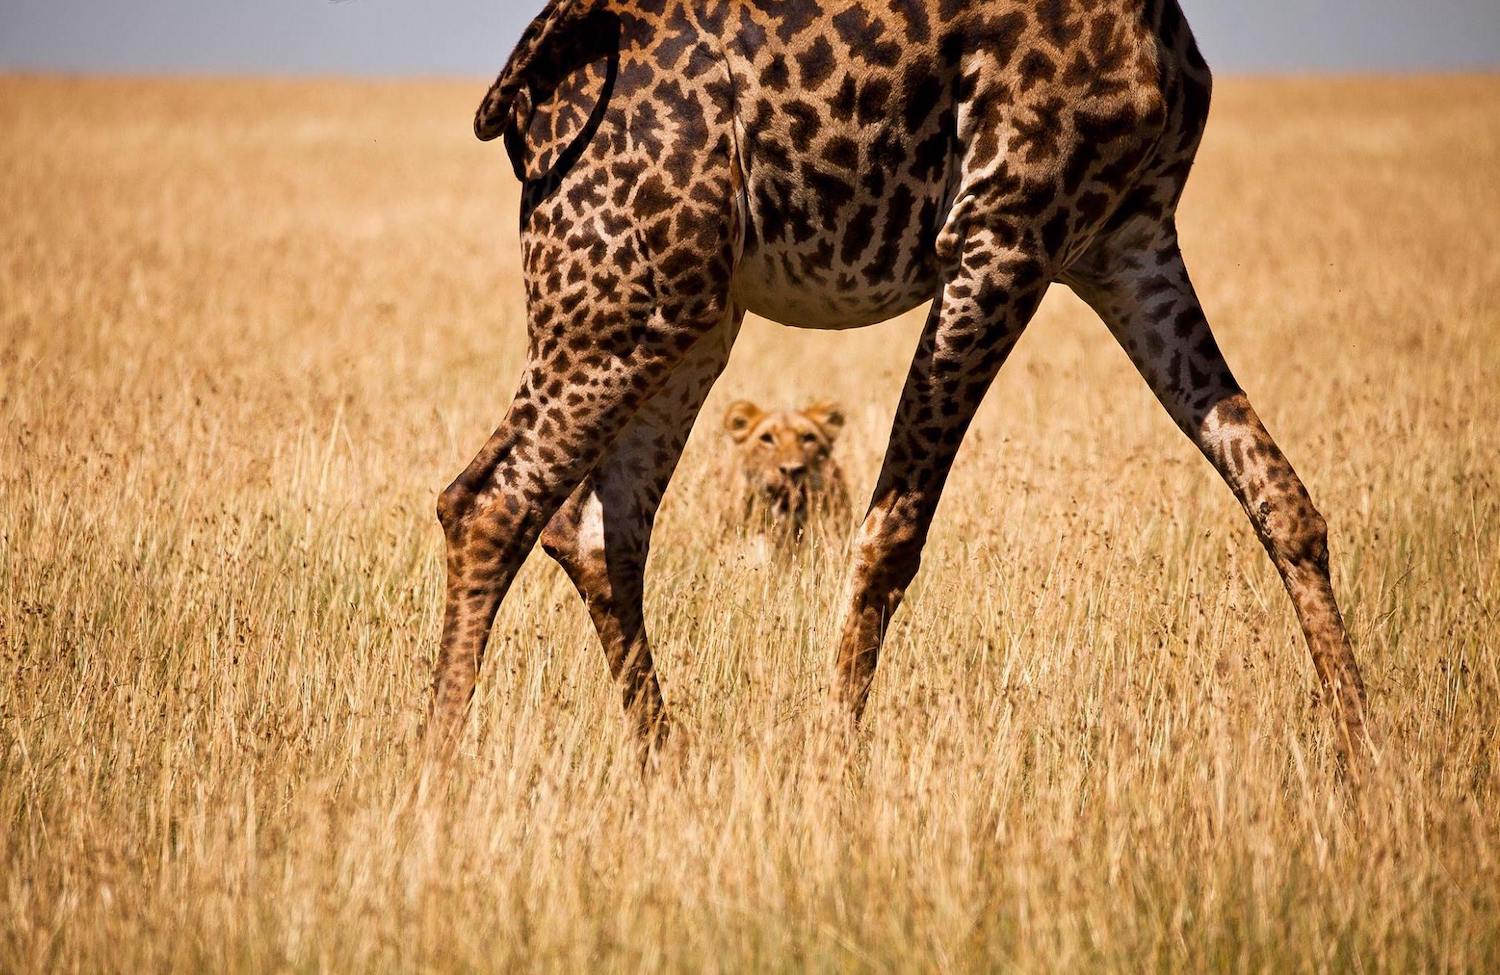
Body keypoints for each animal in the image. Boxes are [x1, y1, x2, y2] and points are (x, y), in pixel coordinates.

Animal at [432, 0, 1374, 759]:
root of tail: (529, 92)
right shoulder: (1000, 235)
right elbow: (893, 533)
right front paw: (832, 766)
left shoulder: (1130, 242)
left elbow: (1283, 499)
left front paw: (1366, 758)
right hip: (620, 298)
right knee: (489, 500)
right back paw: (438, 780)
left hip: (687, 311)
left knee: (597, 528)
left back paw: (668, 762)